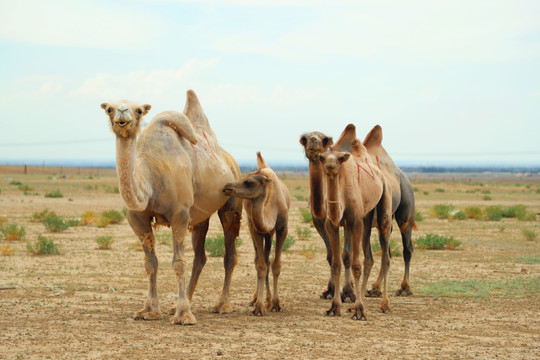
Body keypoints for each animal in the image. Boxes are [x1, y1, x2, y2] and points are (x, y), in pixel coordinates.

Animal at [100, 90, 243, 326]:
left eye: (139, 110)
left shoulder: (179, 214)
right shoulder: (137, 218)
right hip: (200, 216)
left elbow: (178, 262)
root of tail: (230, 161)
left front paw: (184, 316)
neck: (149, 176)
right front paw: (149, 310)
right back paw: (181, 304)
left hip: (232, 201)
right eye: (109, 109)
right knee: (200, 257)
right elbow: (150, 262)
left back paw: (222, 305)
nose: (122, 112)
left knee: (229, 253)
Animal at [224, 152, 292, 316]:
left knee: (268, 259)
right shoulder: (256, 229)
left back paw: (269, 300)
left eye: (248, 182)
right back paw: (257, 299)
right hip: (253, 228)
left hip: (270, 233)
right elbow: (261, 265)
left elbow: (276, 265)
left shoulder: (282, 228)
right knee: (260, 260)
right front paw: (259, 306)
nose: (227, 186)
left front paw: (276, 304)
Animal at [316, 139, 392, 320]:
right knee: (369, 257)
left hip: (385, 202)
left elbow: (356, 265)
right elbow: (336, 263)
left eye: (340, 158)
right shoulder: (332, 224)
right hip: (367, 217)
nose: (330, 165)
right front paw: (335, 307)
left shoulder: (355, 222)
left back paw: (384, 305)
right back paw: (358, 302)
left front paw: (359, 310)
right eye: (322, 157)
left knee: (385, 256)